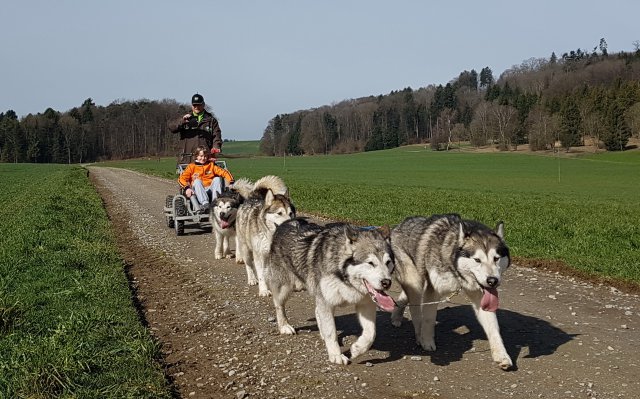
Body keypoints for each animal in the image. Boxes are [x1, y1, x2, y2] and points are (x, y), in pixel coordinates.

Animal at [264, 220, 396, 364]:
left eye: (388, 262)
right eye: (370, 263)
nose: (387, 282)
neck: (344, 278)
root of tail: (284, 223)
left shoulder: (365, 304)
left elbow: (371, 334)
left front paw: (357, 349)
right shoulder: (326, 302)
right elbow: (331, 332)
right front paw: (336, 355)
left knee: (317, 311)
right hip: (285, 288)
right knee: (279, 306)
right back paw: (284, 326)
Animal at [388, 214, 512, 370]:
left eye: (496, 258)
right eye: (477, 260)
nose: (492, 281)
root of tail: (399, 225)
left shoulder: (480, 296)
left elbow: (493, 327)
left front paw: (501, 355)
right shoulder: (433, 290)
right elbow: (428, 318)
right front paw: (427, 341)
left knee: (406, 297)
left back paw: (396, 316)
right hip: (414, 281)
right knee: (415, 310)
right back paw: (419, 335)